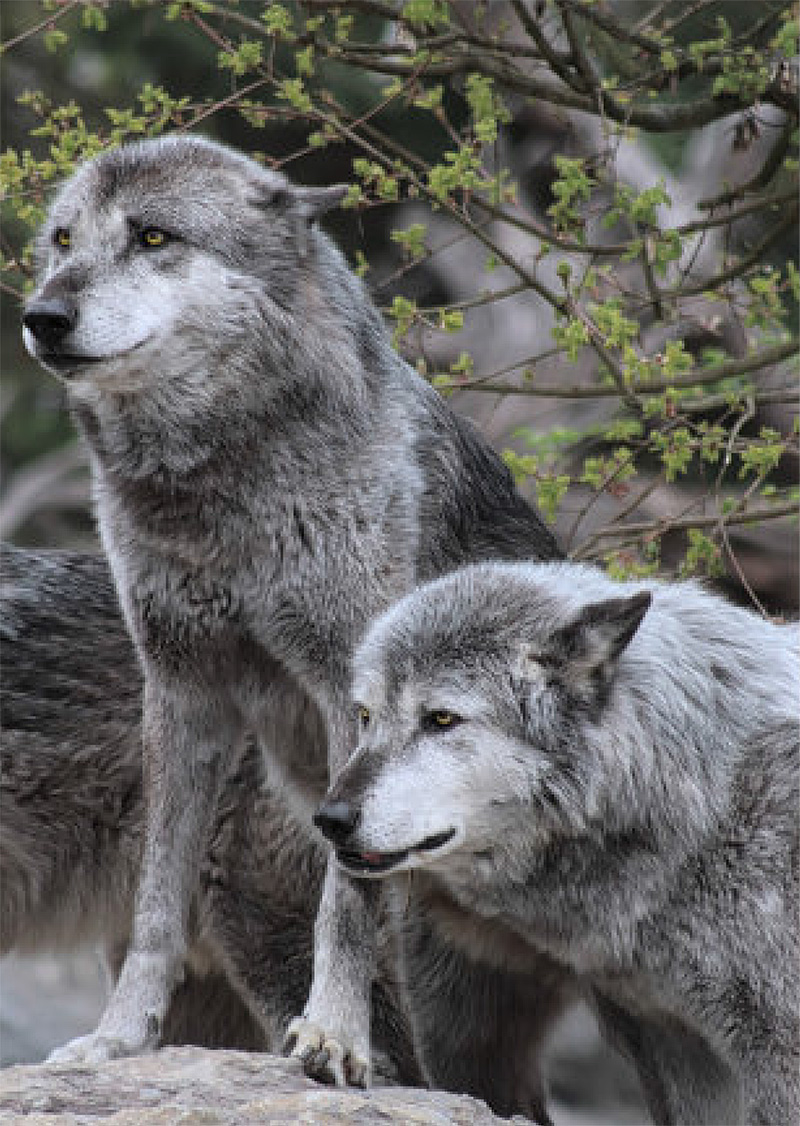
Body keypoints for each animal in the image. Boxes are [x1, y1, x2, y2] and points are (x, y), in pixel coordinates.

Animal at [21, 134, 562, 1117]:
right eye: (63, 240)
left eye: (153, 237)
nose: (42, 315)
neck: (217, 495)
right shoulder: (181, 691)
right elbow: (157, 900)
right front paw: (118, 1042)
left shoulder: (350, 695)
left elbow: (342, 905)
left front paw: (333, 1038)